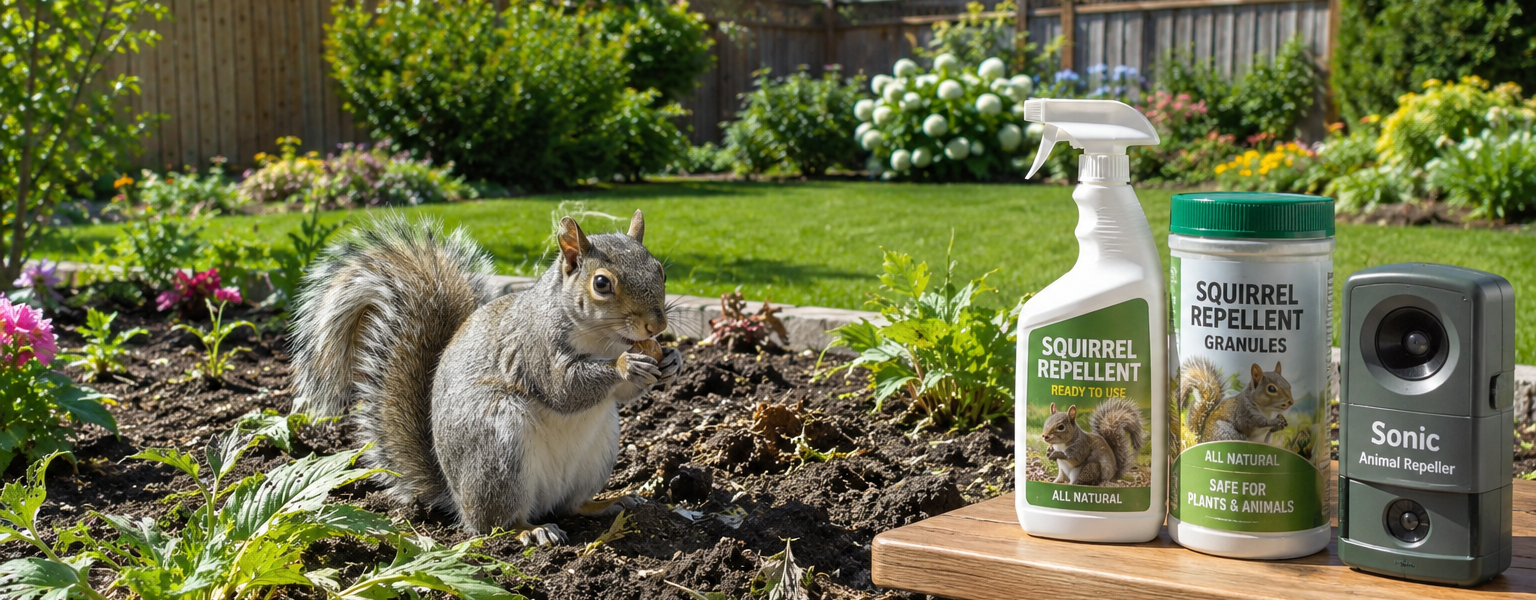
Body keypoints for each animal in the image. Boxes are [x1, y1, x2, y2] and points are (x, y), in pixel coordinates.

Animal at [289, 211, 681, 546]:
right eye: (601, 283)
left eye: (660, 270)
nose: (656, 325)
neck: (604, 340)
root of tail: (455, 495)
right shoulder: (533, 347)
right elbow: (563, 388)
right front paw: (625, 365)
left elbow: (621, 395)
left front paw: (671, 361)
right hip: (498, 443)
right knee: (494, 524)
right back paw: (531, 530)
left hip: (598, 451)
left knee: (569, 505)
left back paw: (607, 503)